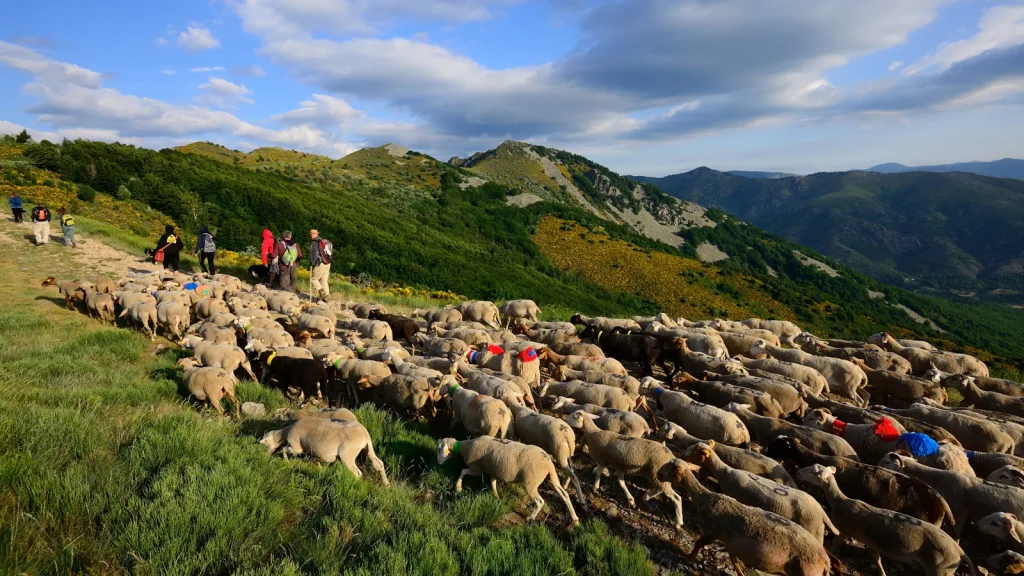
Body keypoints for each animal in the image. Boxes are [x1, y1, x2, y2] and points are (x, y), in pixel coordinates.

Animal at [794, 461, 970, 573]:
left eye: (814, 473)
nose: (798, 472)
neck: (840, 501)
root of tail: (960, 551)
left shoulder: (843, 531)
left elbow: (831, 547)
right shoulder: (871, 543)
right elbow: (876, 558)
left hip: (940, 569)